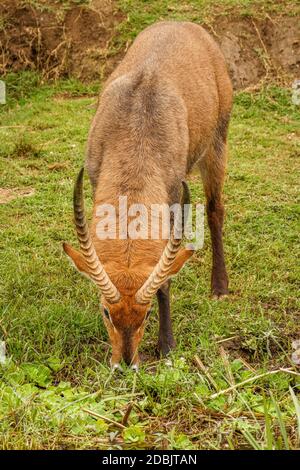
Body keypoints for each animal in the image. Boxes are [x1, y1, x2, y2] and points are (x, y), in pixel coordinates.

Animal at [62, 21, 232, 368]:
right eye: (106, 312)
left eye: (148, 312)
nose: (125, 363)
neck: (135, 130)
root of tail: (183, 23)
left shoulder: (173, 199)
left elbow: (164, 277)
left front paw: (166, 345)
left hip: (217, 144)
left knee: (214, 210)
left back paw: (219, 287)